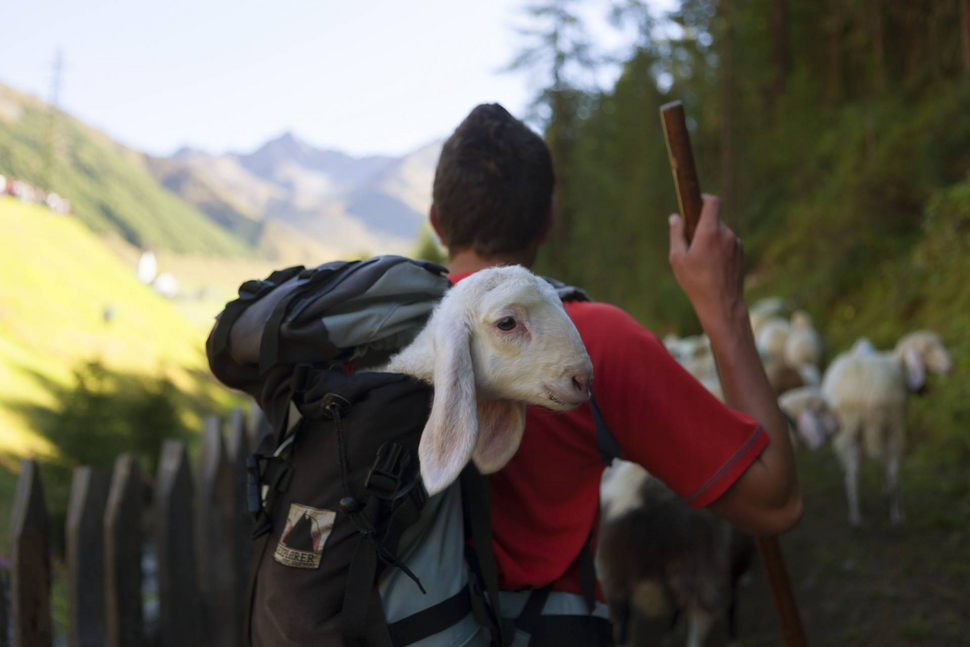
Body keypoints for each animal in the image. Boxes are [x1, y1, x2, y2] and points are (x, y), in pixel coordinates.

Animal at [820, 330, 948, 528]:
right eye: (926, 350)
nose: (949, 366)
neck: (901, 369)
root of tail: (858, 389)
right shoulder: (893, 423)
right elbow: (889, 467)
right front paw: (889, 497)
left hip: (849, 429)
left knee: (852, 474)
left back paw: (855, 516)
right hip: (887, 426)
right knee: (892, 469)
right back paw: (896, 514)